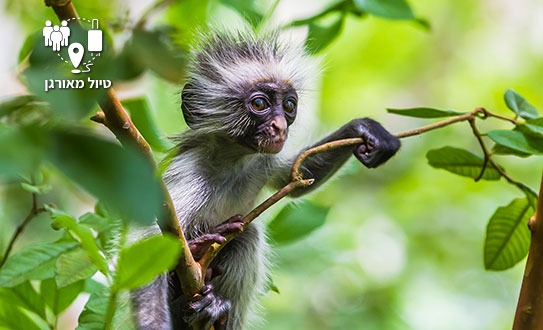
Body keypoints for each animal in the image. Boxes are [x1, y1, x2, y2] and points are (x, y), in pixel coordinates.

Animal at [130, 29, 402, 330]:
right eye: (260, 104)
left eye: (289, 105)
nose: (280, 126)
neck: (231, 163)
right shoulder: (189, 171)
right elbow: (146, 238)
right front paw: (153, 323)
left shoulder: (262, 160)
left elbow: (295, 177)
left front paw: (364, 129)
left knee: (246, 235)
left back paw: (215, 311)